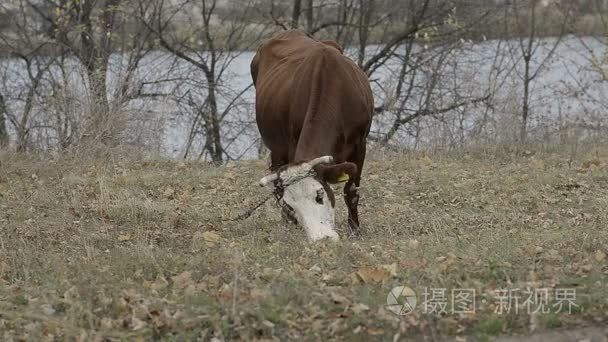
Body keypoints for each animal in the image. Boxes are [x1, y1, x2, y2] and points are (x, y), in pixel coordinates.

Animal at [249, 30, 372, 242]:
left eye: (319, 195)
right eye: (292, 205)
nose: (321, 239)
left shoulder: (360, 144)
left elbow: (351, 191)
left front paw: (355, 230)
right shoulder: (291, 144)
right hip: (276, 148)